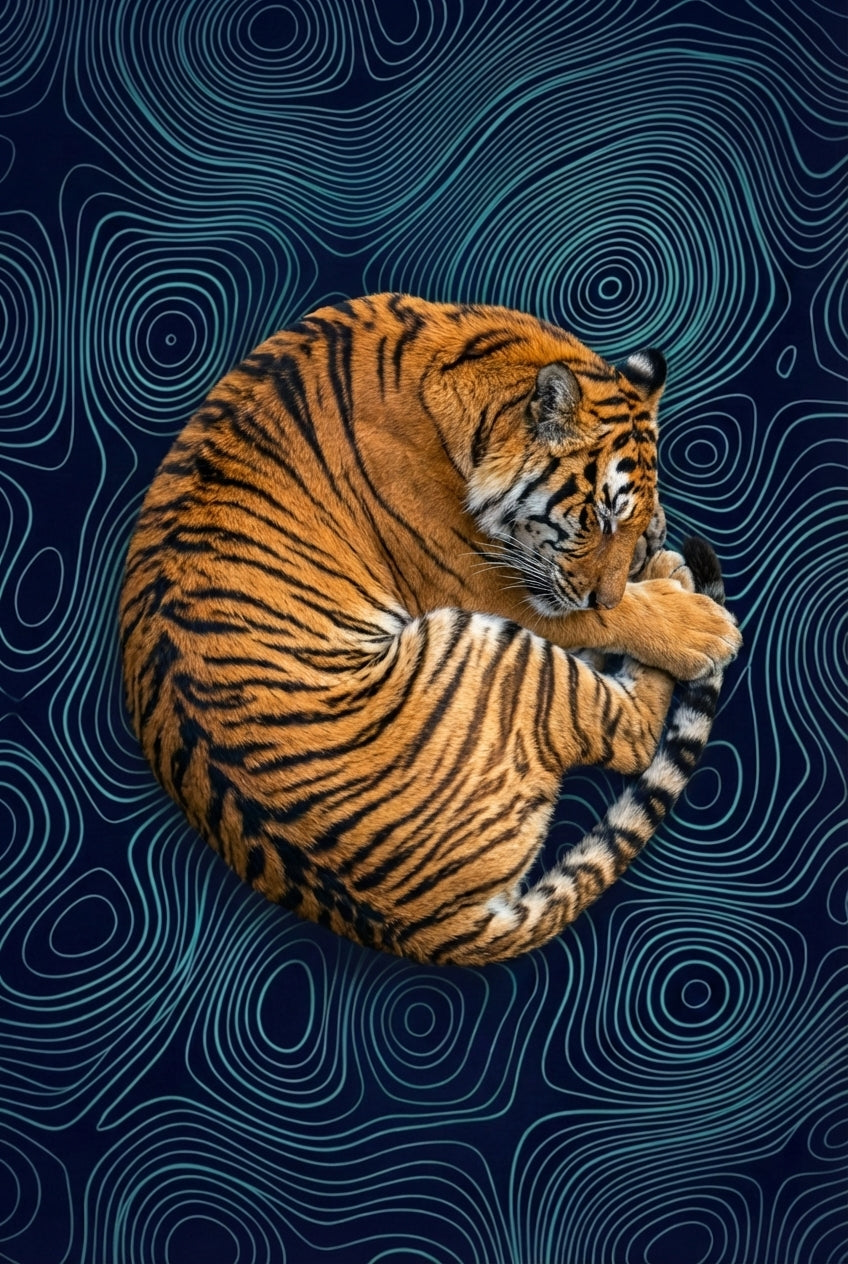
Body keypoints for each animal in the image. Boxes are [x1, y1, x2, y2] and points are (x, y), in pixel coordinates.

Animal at [119, 293, 741, 967]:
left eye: (630, 517)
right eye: (599, 518)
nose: (618, 576)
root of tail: (428, 930)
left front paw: (656, 549)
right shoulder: (488, 584)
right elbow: (609, 616)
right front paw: (698, 624)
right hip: (488, 648)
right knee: (631, 735)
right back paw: (677, 584)